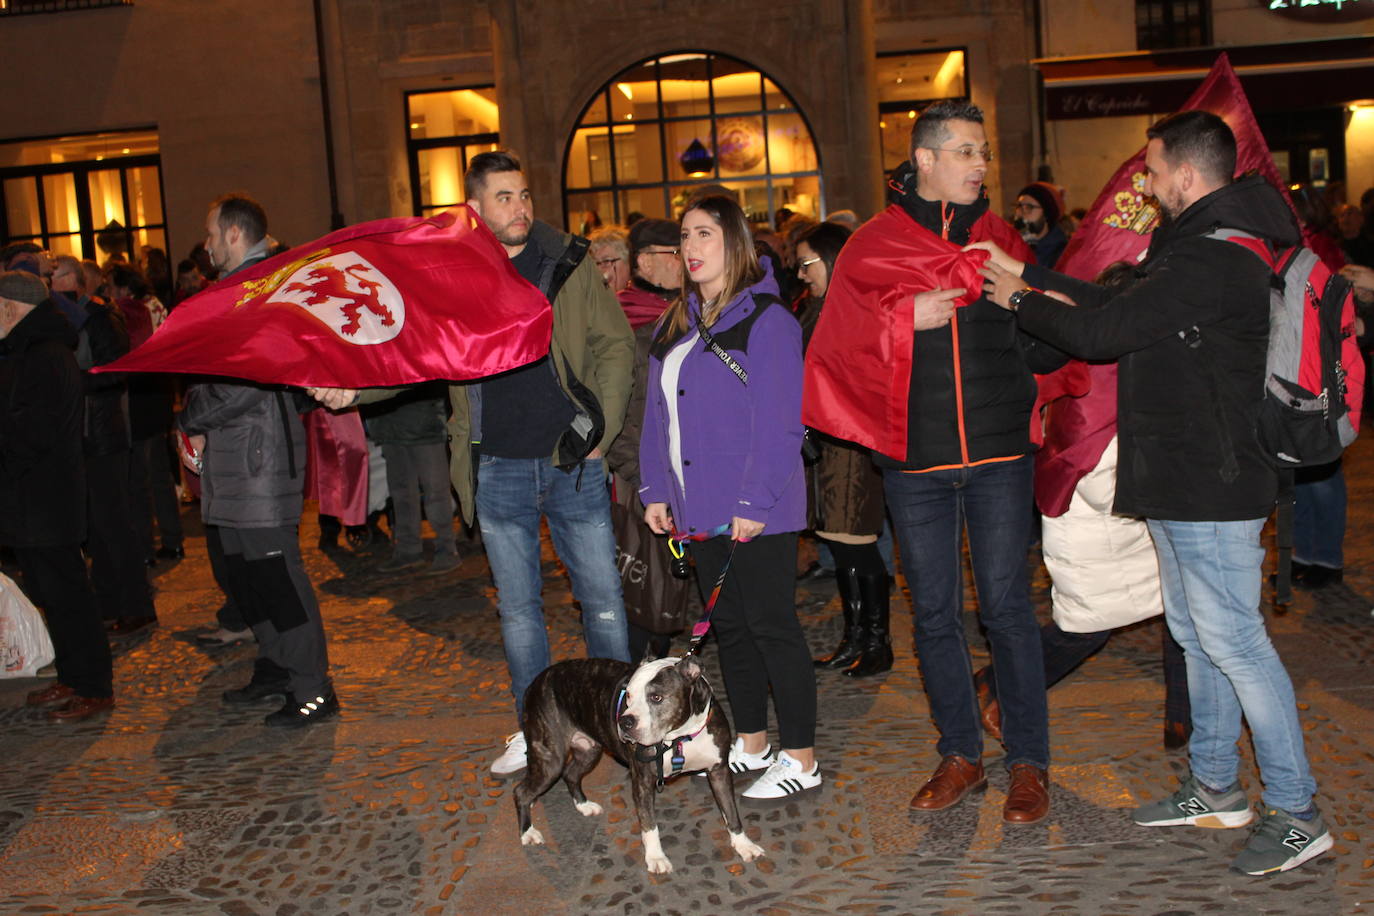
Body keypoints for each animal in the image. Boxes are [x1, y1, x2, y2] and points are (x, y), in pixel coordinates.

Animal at [511, 659, 763, 873]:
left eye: (657, 697)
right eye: (629, 696)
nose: (625, 721)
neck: (680, 737)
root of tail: (537, 681)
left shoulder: (719, 772)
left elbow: (731, 811)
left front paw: (744, 844)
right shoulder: (642, 780)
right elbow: (649, 824)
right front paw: (656, 858)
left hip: (589, 749)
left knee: (570, 774)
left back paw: (584, 805)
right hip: (549, 758)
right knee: (521, 790)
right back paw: (528, 832)